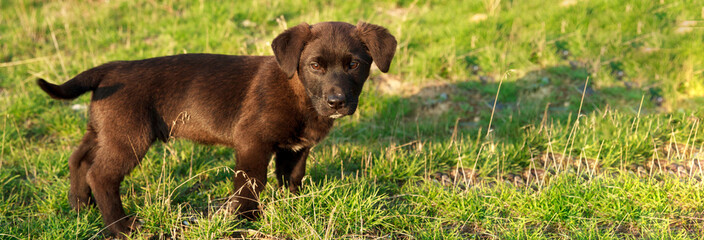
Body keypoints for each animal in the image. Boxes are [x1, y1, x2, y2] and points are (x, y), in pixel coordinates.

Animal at [38, 22, 396, 236]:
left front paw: (293, 209)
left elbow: (291, 180)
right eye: (315, 66)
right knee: (101, 175)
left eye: (354, 65)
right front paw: (245, 221)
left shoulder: (295, 149)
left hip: (104, 130)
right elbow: (250, 184)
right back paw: (121, 227)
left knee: (80, 160)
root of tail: (112, 68)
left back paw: (80, 207)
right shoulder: (252, 142)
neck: (300, 93)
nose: (337, 102)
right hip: (128, 137)